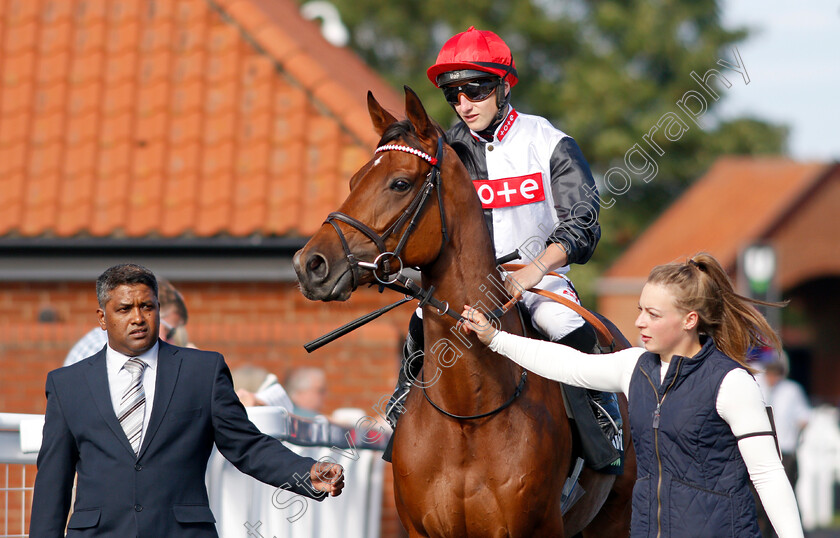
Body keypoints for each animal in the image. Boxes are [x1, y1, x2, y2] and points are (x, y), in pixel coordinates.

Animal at [296, 86, 636, 532]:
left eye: (400, 183)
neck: (467, 415)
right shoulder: (420, 529)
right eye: (354, 180)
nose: (310, 263)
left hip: (616, 518)